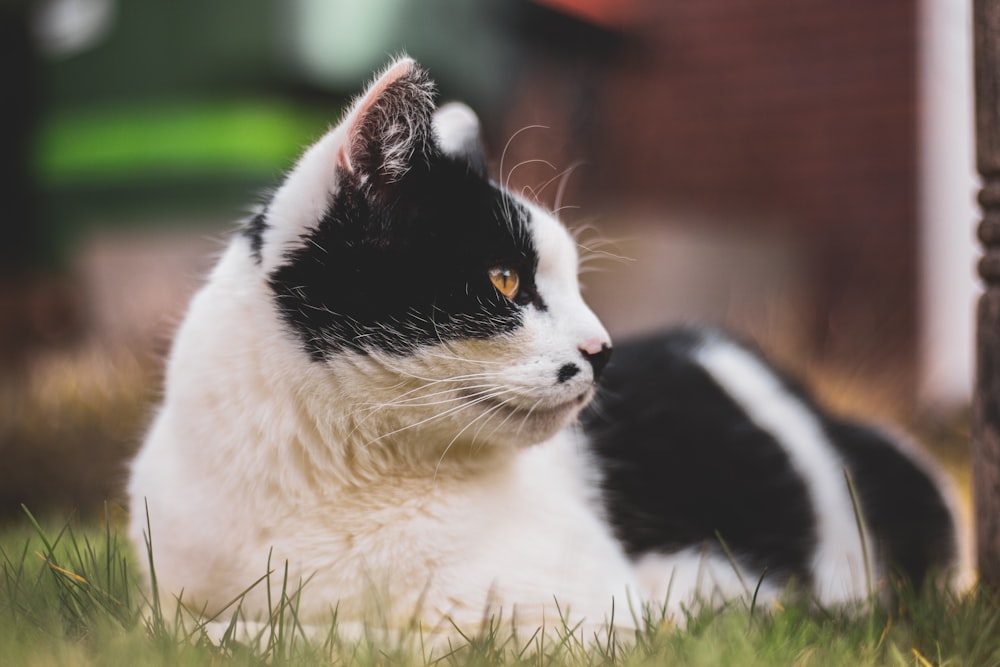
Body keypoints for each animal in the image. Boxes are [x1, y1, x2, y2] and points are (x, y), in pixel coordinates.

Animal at [129, 57, 964, 640]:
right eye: (506, 279)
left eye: (573, 280)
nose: (603, 348)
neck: (326, 478)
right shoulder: (169, 586)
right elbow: (187, 624)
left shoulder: (572, 611)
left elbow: (382, 635)